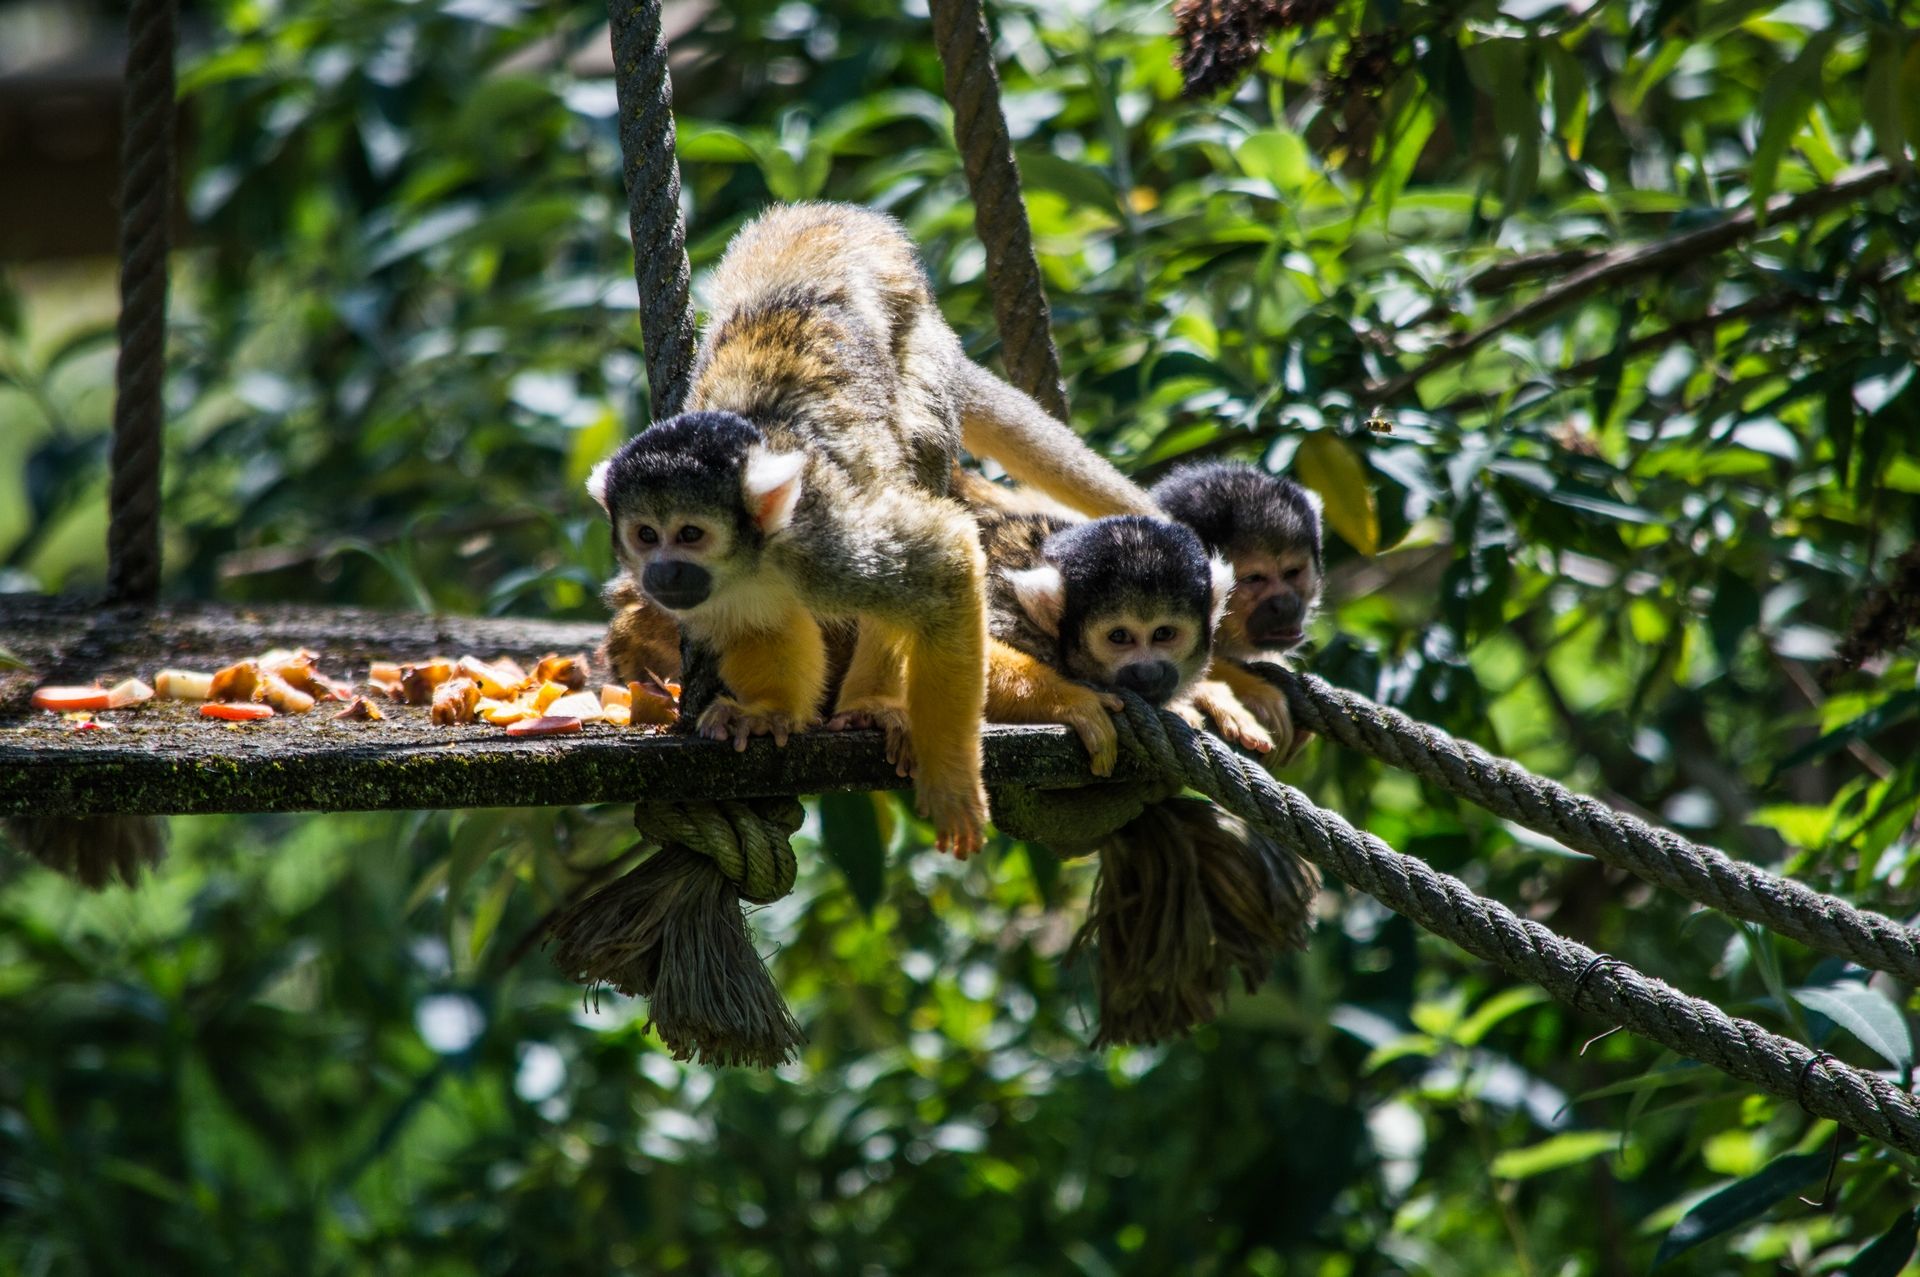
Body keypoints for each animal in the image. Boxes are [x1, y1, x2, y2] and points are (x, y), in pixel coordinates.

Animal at [583, 204, 1152, 852]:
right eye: (646, 536)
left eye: (691, 534)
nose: (663, 572)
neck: (756, 559)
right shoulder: (714, 597)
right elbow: (763, 625)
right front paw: (769, 710)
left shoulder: (823, 542)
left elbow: (944, 560)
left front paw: (951, 780)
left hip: (923, 361)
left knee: (913, 466)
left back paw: (876, 700)